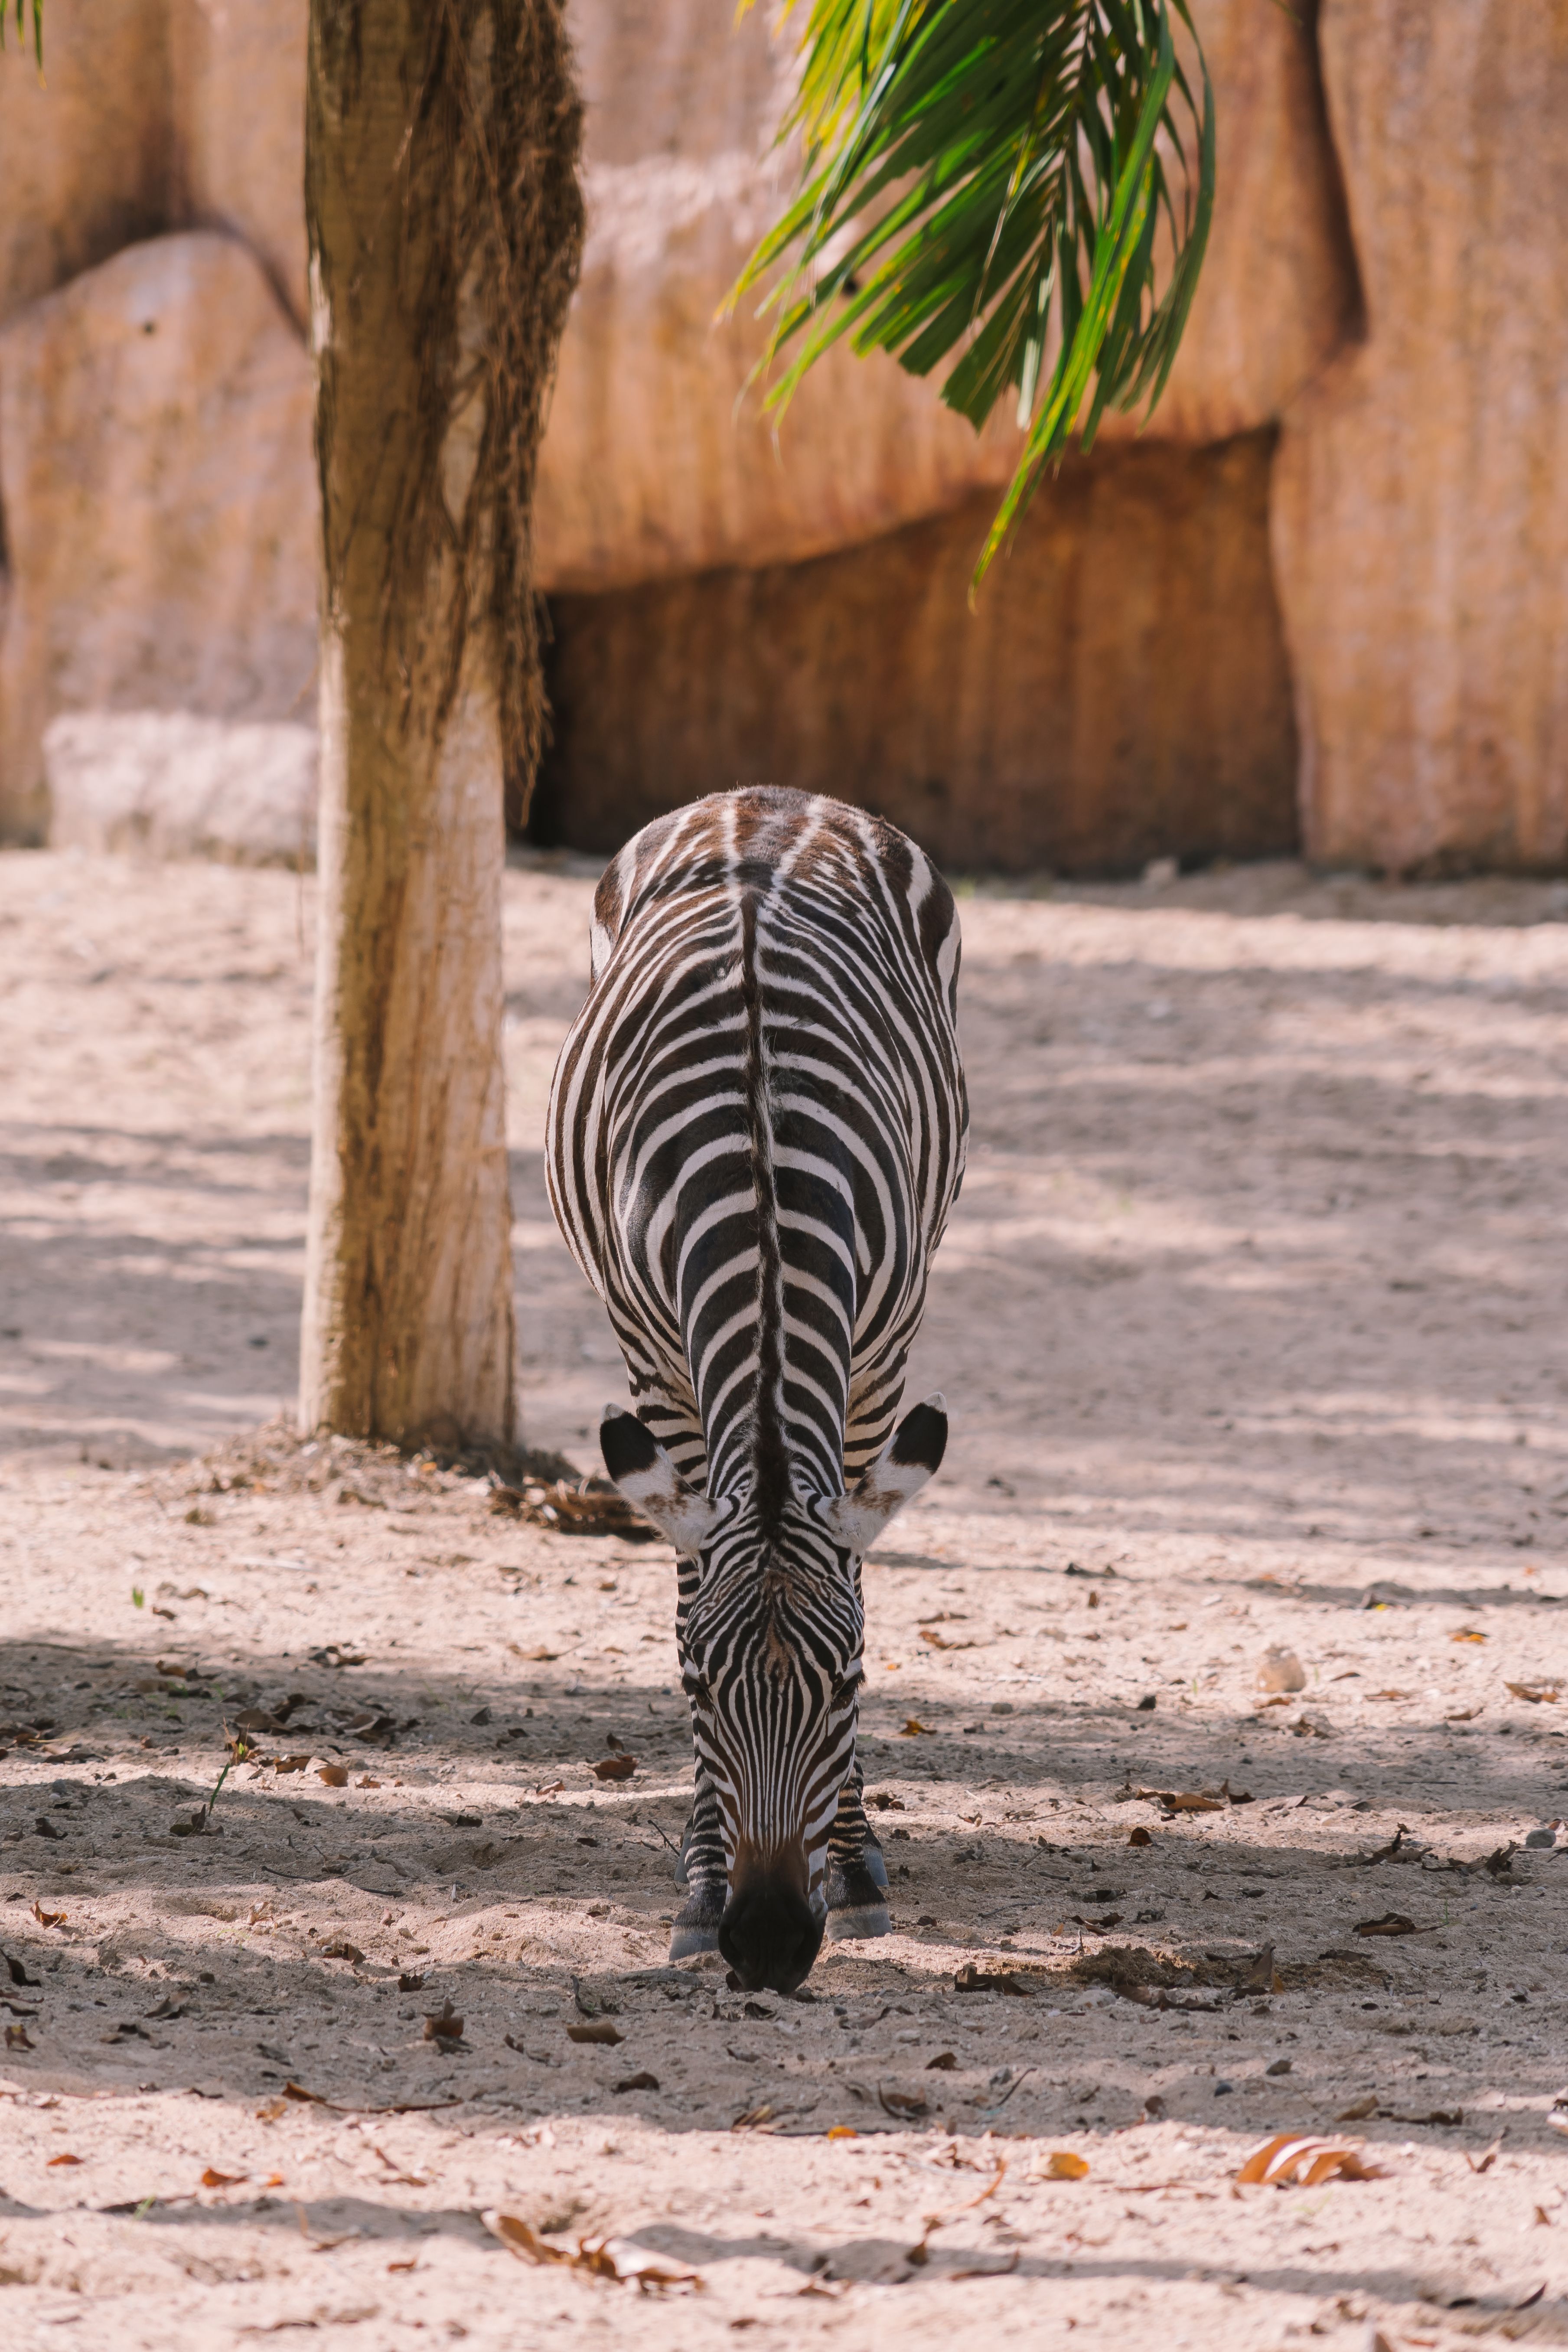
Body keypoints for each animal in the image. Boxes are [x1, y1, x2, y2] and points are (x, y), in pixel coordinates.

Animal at [546, 787, 967, 1993]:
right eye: (694, 1689)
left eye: (849, 1685)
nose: (770, 1945)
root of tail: (765, 801)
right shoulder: (652, 1352)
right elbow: (688, 1580)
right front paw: (697, 1880)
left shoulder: (881, 1345)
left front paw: (855, 1860)